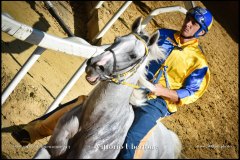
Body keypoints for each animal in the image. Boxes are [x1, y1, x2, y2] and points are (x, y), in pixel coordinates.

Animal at [32, 16, 181, 158]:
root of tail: (171, 141)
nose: (95, 64)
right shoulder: (49, 150)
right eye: (117, 39)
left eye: (133, 55)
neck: (92, 124)